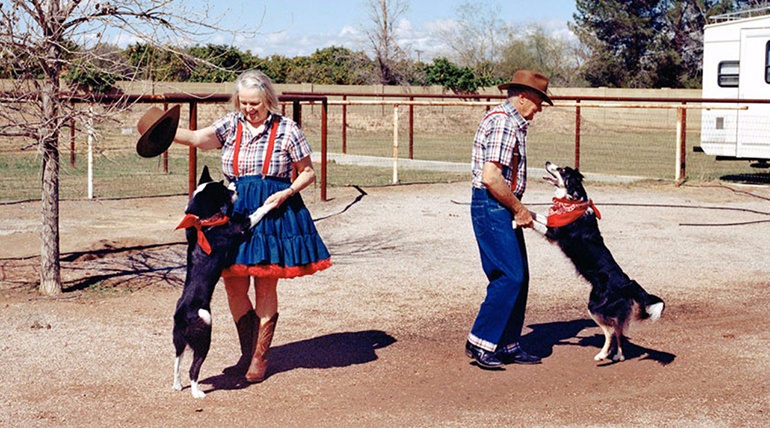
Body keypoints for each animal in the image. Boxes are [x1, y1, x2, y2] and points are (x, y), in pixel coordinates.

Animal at [536, 160, 664, 362]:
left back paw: (602, 355)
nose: (547, 162)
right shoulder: (552, 223)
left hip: (594, 306)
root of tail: (627, 284)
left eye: (562, 170)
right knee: (619, 329)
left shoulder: (553, 232)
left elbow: (533, 219)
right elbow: (536, 215)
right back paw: (618, 355)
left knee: (610, 331)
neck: (571, 201)